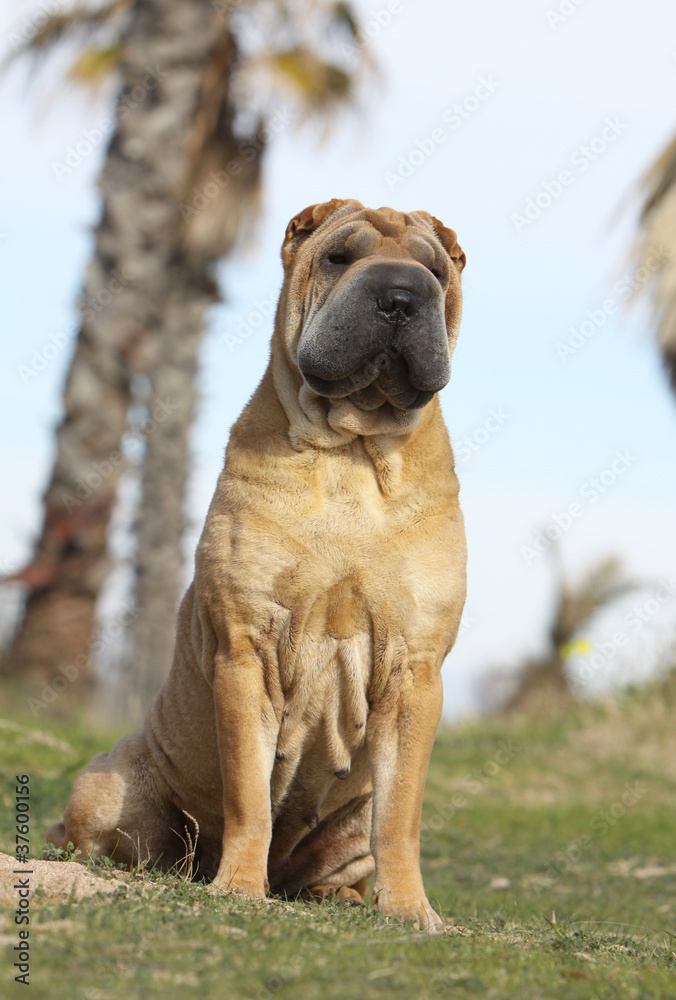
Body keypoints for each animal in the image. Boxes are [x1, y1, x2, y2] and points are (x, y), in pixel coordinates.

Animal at [45, 199, 468, 932]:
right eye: (340, 257)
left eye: (436, 272)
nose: (399, 297)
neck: (351, 452)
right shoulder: (247, 650)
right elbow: (246, 790)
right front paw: (239, 886)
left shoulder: (414, 671)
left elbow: (400, 818)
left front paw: (412, 911)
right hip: (106, 786)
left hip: (345, 832)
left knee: (345, 855)